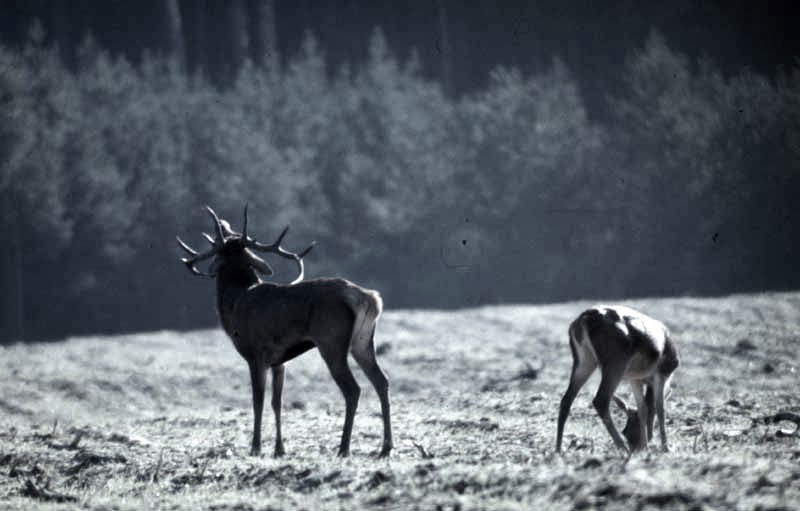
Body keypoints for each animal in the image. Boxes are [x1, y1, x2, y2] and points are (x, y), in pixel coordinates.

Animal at [180, 206, 396, 458]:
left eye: (222, 240)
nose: (222, 224)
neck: (234, 304)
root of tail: (369, 298)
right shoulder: (279, 360)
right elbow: (277, 401)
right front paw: (279, 449)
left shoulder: (257, 353)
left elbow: (258, 400)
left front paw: (255, 447)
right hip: (362, 342)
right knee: (382, 381)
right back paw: (385, 447)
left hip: (331, 340)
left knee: (353, 389)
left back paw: (344, 448)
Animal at [556, 306, 680, 454]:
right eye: (626, 431)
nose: (635, 448)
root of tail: (584, 319)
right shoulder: (662, 372)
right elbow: (660, 408)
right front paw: (666, 447)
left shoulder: (635, 378)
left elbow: (643, 408)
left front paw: (646, 446)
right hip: (616, 361)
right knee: (600, 400)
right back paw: (622, 448)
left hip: (584, 360)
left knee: (566, 399)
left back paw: (558, 448)